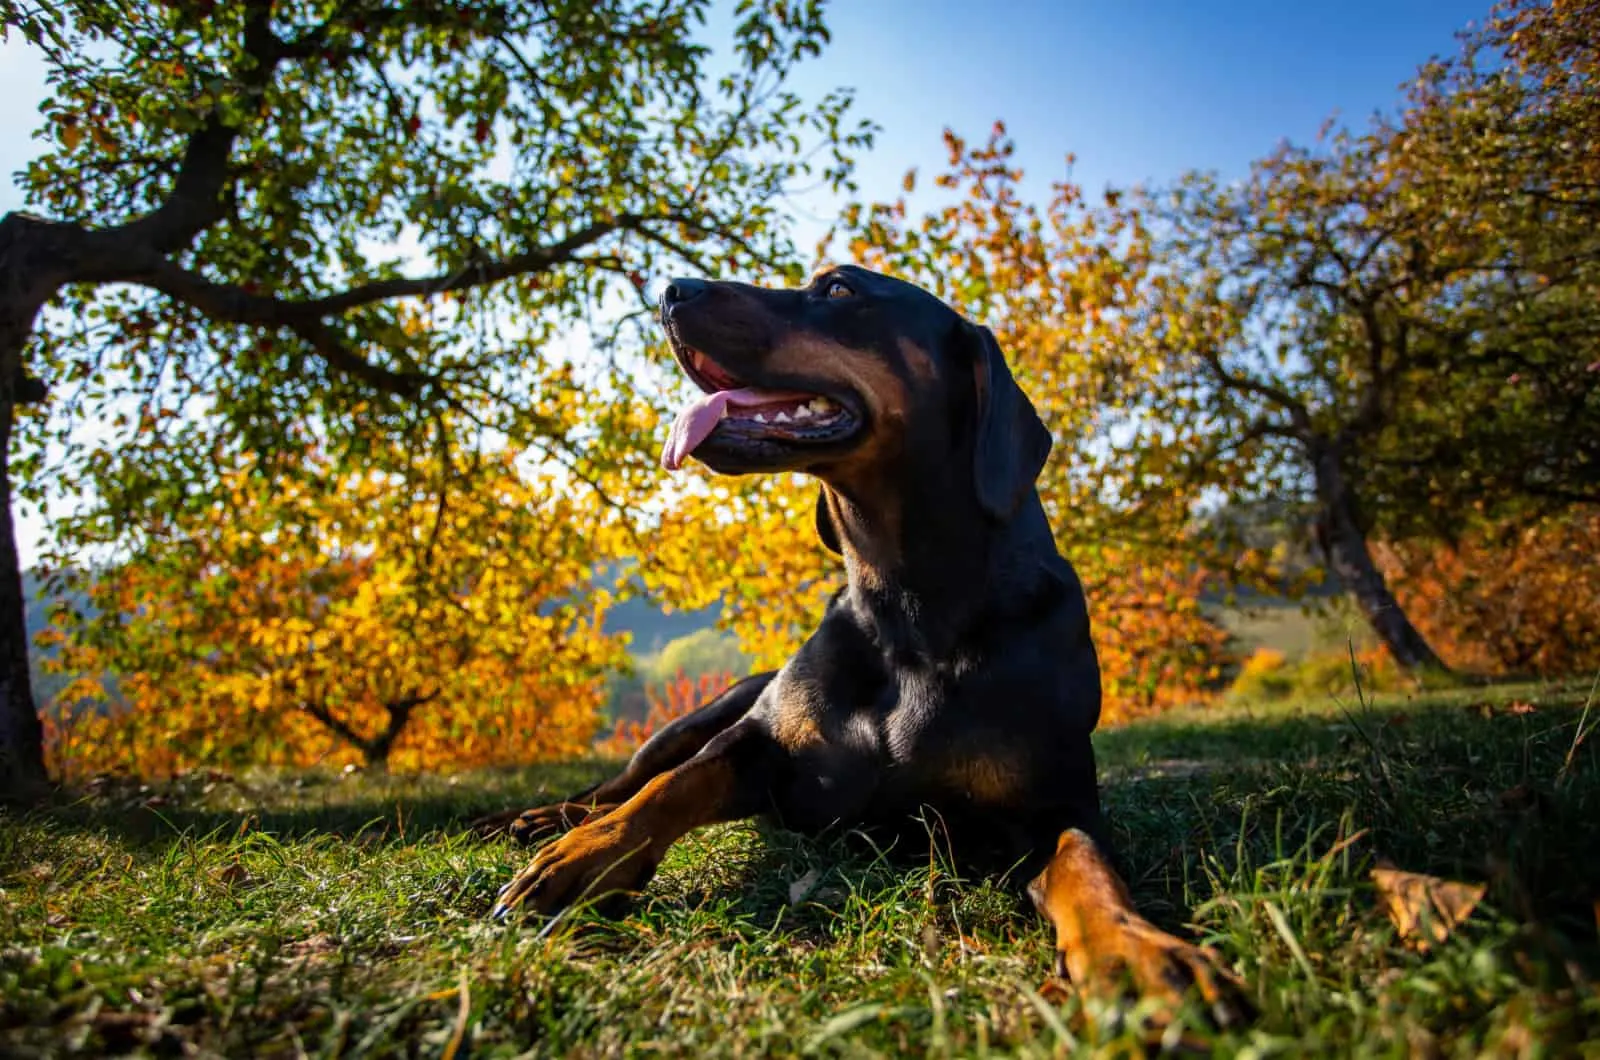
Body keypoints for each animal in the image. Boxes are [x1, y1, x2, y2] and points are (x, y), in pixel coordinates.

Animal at [486, 265, 1248, 1031]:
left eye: (840, 290)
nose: (673, 290)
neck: (905, 611)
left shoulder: (1050, 802)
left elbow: (1087, 866)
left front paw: (1138, 956)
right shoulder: (759, 739)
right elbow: (669, 789)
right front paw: (584, 857)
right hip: (694, 717)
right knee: (622, 781)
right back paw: (540, 820)